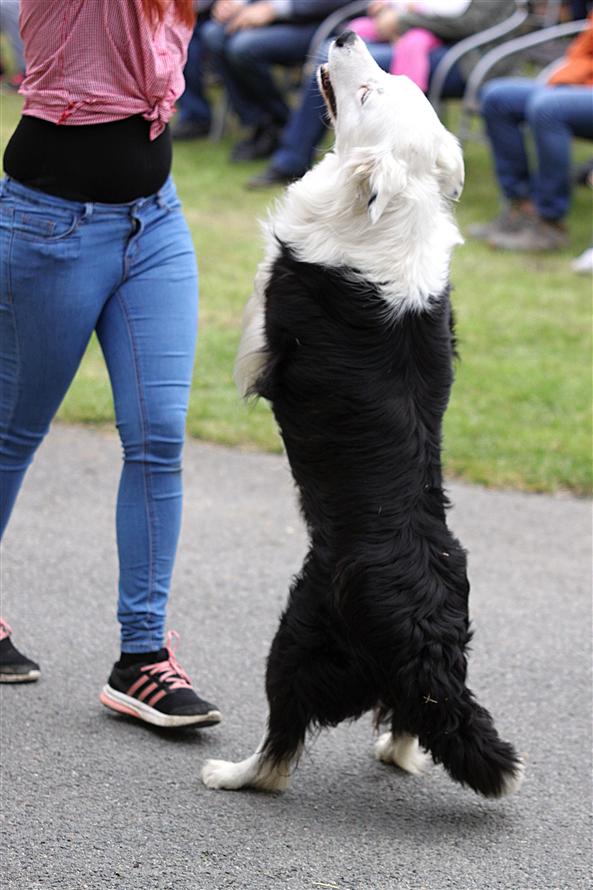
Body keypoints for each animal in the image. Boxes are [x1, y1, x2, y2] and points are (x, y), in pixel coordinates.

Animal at [202, 31, 523, 798]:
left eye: (369, 91)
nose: (349, 35)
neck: (391, 207)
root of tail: (425, 637)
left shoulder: (267, 334)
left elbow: (260, 303)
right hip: (428, 667)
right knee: (412, 719)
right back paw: (393, 751)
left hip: (296, 635)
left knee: (280, 747)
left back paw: (227, 773)